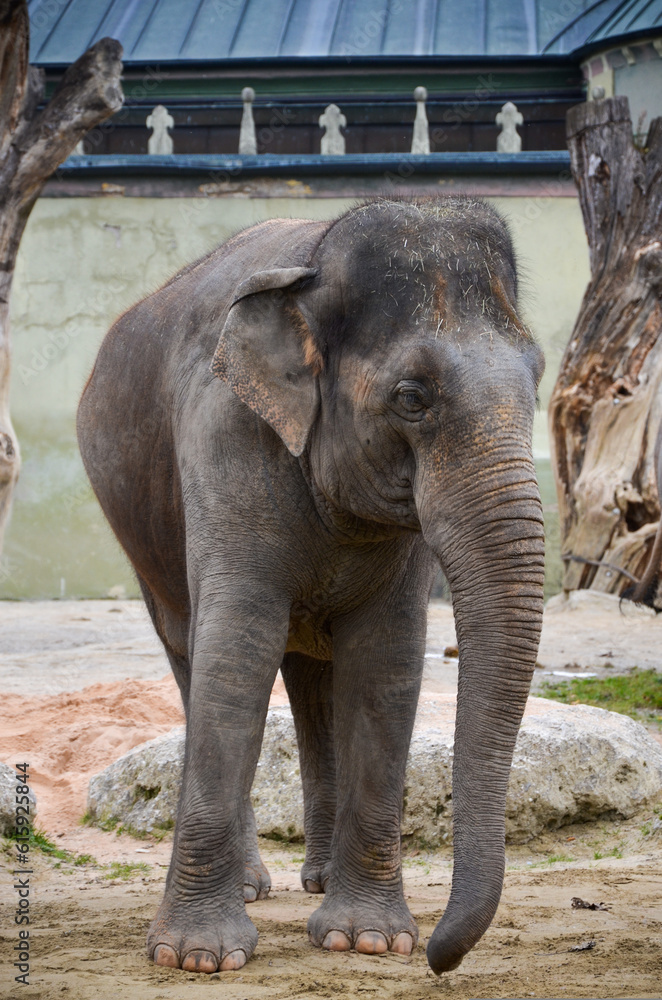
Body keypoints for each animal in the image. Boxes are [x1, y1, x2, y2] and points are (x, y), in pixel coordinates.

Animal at [78, 195, 544, 976]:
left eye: (538, 379)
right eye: (412, 397)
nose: (439, 959)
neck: (316, 266)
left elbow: (386, 659)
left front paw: (369, 941)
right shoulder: (225, 433)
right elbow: (238, 648)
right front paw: (198, 958)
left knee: (312, 676)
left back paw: (319, 880)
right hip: (143, 538)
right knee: (195, 655)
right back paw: (251, 885)